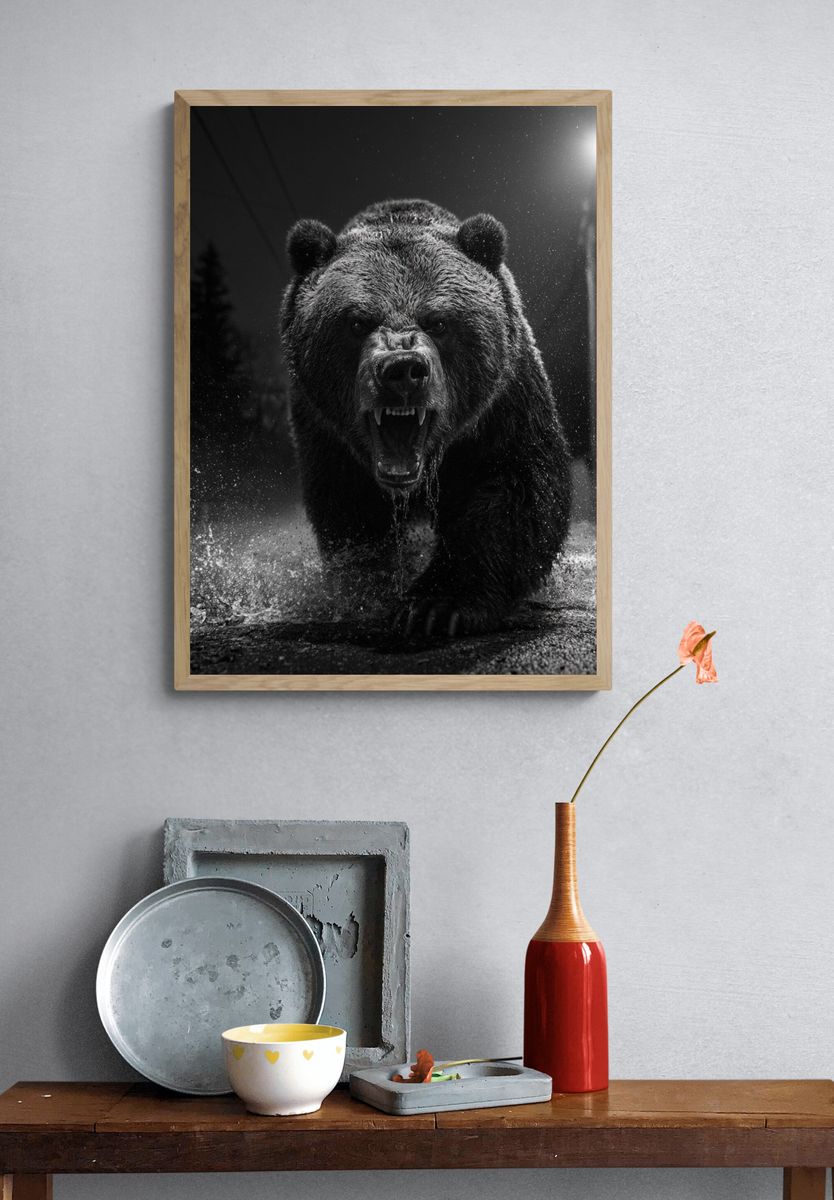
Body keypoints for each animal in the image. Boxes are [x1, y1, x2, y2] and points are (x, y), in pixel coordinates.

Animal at [279, 198, 572, 637]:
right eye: (357, 321)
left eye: (439, 321)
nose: (402, 370)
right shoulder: (324, 431)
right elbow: (351, 513)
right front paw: (369, 593)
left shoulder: (503, 402)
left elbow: (515, 487)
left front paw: (435, 605)